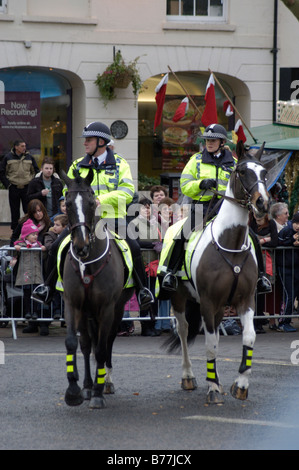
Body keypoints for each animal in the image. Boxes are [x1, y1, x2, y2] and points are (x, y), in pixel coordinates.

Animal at [166, 142, 270, 404]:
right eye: (242, 171)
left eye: (264, 173)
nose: (262, 203)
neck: (229, 242)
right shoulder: (208, 301)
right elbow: (210, 344)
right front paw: (212, 387)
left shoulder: (245, 300)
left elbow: (249, 337)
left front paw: (240, 384)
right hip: (180, 298)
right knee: (183, 331)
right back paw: (189, 377)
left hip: (221, 306)